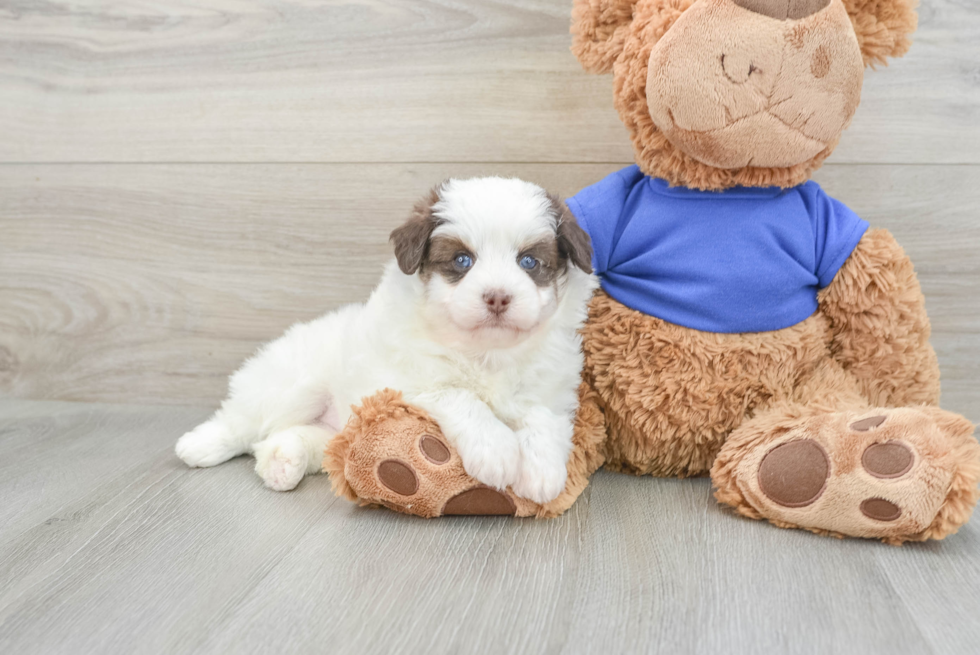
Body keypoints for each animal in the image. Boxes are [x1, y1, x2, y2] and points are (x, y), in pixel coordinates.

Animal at [174, 177, 596, 504]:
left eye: (529, 262)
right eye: (462, 261)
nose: (497, 297)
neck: (485, 352)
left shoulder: (549, 389)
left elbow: (543, 419)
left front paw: (542, 470)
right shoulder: (411, 382)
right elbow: (462, 397)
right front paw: (497, 451)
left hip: (332, 429)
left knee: (282, 439)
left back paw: (282, 462)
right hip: (291, 385)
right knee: (244, 422)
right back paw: (201, 445)